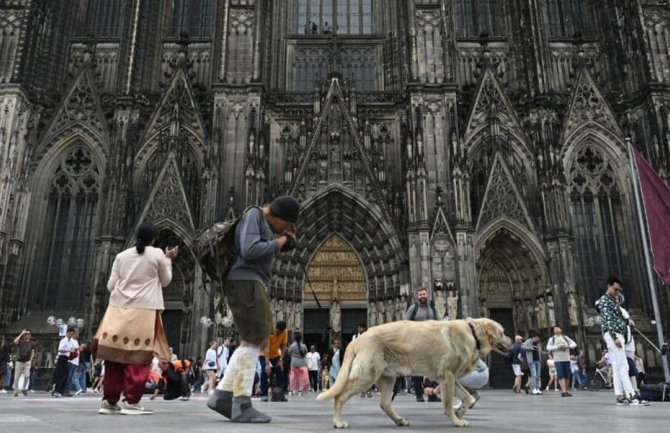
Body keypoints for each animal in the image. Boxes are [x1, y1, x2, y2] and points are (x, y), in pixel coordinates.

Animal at [318, 316, 512, 426]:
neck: (472, 333)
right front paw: (456, 420)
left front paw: (460, 412)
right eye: (502, 332)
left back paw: (399, 421)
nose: (512, 341)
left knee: (384, 404)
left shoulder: (446, 378)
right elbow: (449, 403)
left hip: (388, 378)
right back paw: (337, 422)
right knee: (339, 397)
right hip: (366, 376)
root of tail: (357, 340)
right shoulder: (448, 376)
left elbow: (468, 398)